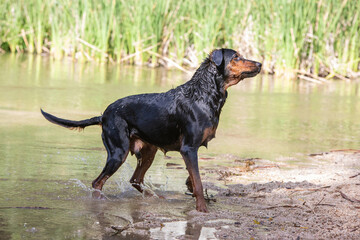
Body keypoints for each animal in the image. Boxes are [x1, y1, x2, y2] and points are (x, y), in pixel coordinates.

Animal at [41, 48, 262, 212]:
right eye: (236, 57)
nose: (260, 64)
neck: (204, 94)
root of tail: (103, 116)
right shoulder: (189, 148)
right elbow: (198, 183)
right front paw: (202, 209)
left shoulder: (191, 150)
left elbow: (193, 179)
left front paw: (193, 193)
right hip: (118, 152)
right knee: (98, 183)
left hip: (148, 151)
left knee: (135, 180)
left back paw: (152, 196)